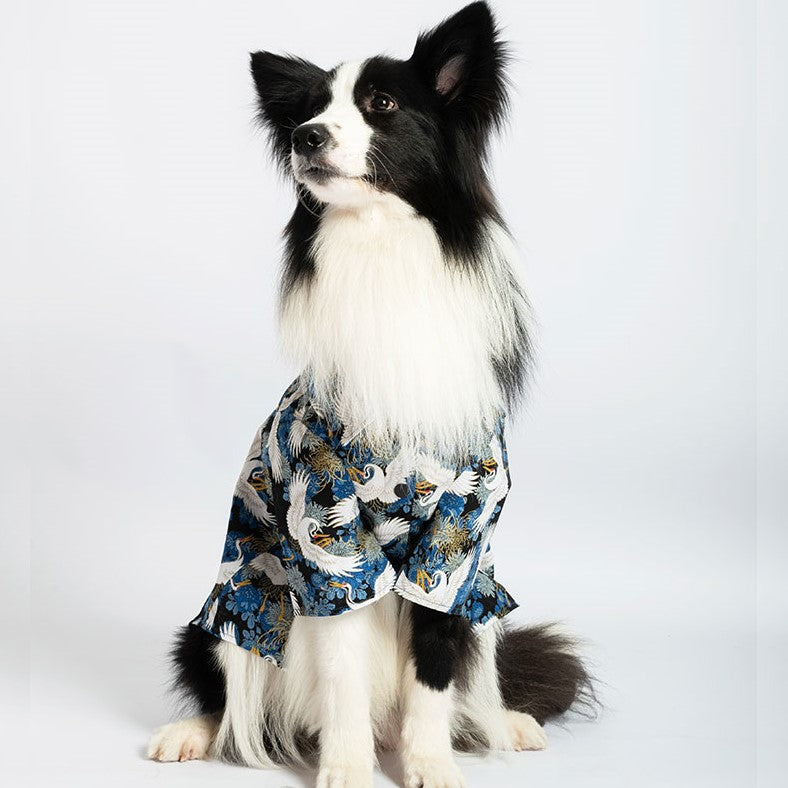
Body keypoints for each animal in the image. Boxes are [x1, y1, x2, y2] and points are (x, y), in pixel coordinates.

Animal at [148, 3, 593, 786]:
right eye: (311, 110)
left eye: (381, 104)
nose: (306, 136)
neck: (382, 247)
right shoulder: (327, 532)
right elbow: (341, 667)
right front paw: (347, 768)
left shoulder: (458, 536)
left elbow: (437, 664)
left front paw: (429, 764)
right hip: (226, 607)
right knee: (222, 682)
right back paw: (190, 734)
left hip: (488, 600)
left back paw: (507, 721)